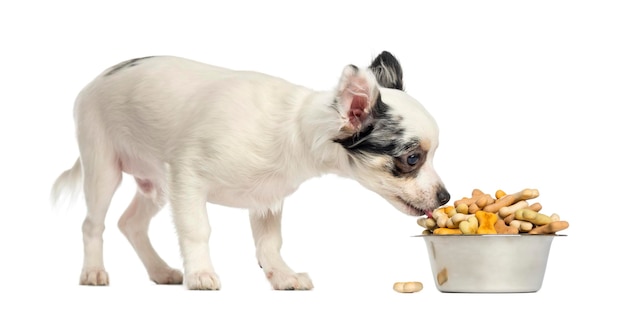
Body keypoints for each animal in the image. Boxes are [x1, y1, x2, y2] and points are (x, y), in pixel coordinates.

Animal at [51, 51, 446, 290]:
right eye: (413, 159)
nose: (445, 196)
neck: (294, 127)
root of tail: (94, 81)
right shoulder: (187, 177)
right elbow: (197, 230)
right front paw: (201, 274)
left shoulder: (266, 199)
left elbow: (269, 243)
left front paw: (282, 276)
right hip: (103, 168)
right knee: (93, 224)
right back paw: (93, 271)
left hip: (156, 185)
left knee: (129, 223)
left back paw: (160, 271)